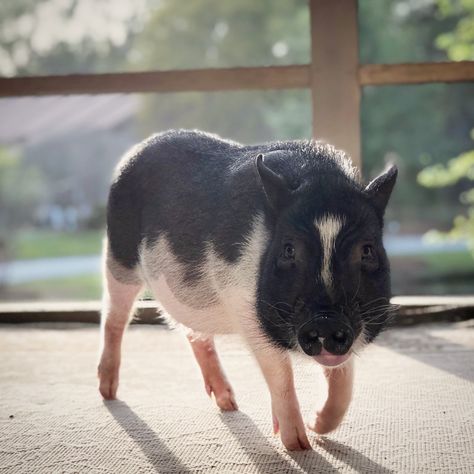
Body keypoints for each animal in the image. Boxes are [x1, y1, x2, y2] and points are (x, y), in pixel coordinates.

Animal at [98, 130, 398, 452]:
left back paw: (229, 404)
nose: (326, 321)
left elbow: (344, 379)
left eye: (367, 250)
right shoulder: (244, 307)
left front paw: (318, 426)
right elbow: (281, 374)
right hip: (119, 255)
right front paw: (298, 445)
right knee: (114, 317)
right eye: (288, 249)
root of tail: (138, 149)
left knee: (194, 335)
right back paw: (108, 392)